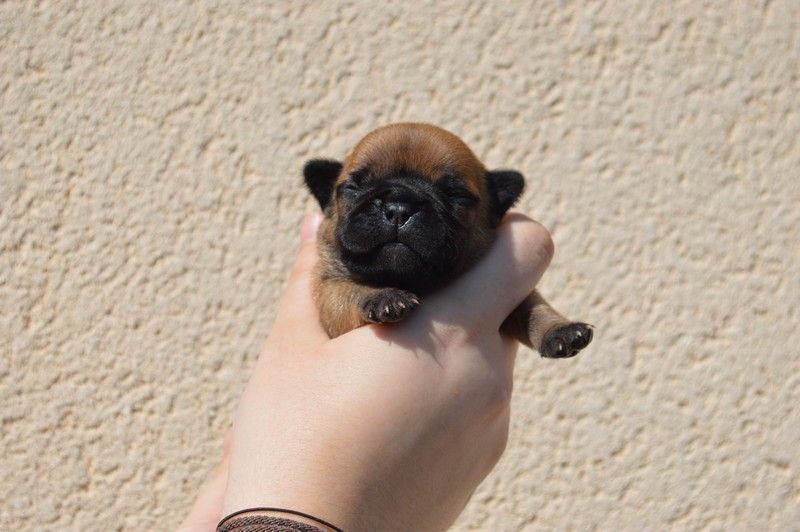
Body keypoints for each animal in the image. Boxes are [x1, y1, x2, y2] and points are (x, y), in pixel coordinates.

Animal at [303, 123, 592, 358]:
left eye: (457, 196)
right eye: (353, 188)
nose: (399, 207)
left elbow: (532, 304)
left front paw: (558, 328)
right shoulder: (327, 289)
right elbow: (347, 292)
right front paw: (381, 296)